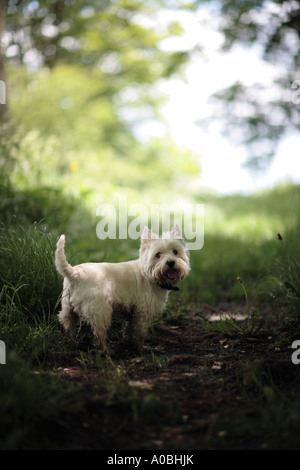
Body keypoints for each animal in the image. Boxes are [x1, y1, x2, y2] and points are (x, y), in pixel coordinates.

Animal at [55, 225, 189, 352]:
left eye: (175, 252)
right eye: (158, 255)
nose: (171, 262)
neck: (149, 275)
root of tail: (75, 274)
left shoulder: (132, 311)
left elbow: (128, 328)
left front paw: (127, 342)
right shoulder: (143, 312)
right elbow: (140, 332)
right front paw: (140, 348)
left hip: (67, 308)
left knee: (69, 326)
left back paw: (73, 344)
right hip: (100, 310)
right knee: (99, 333)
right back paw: (105, 350)